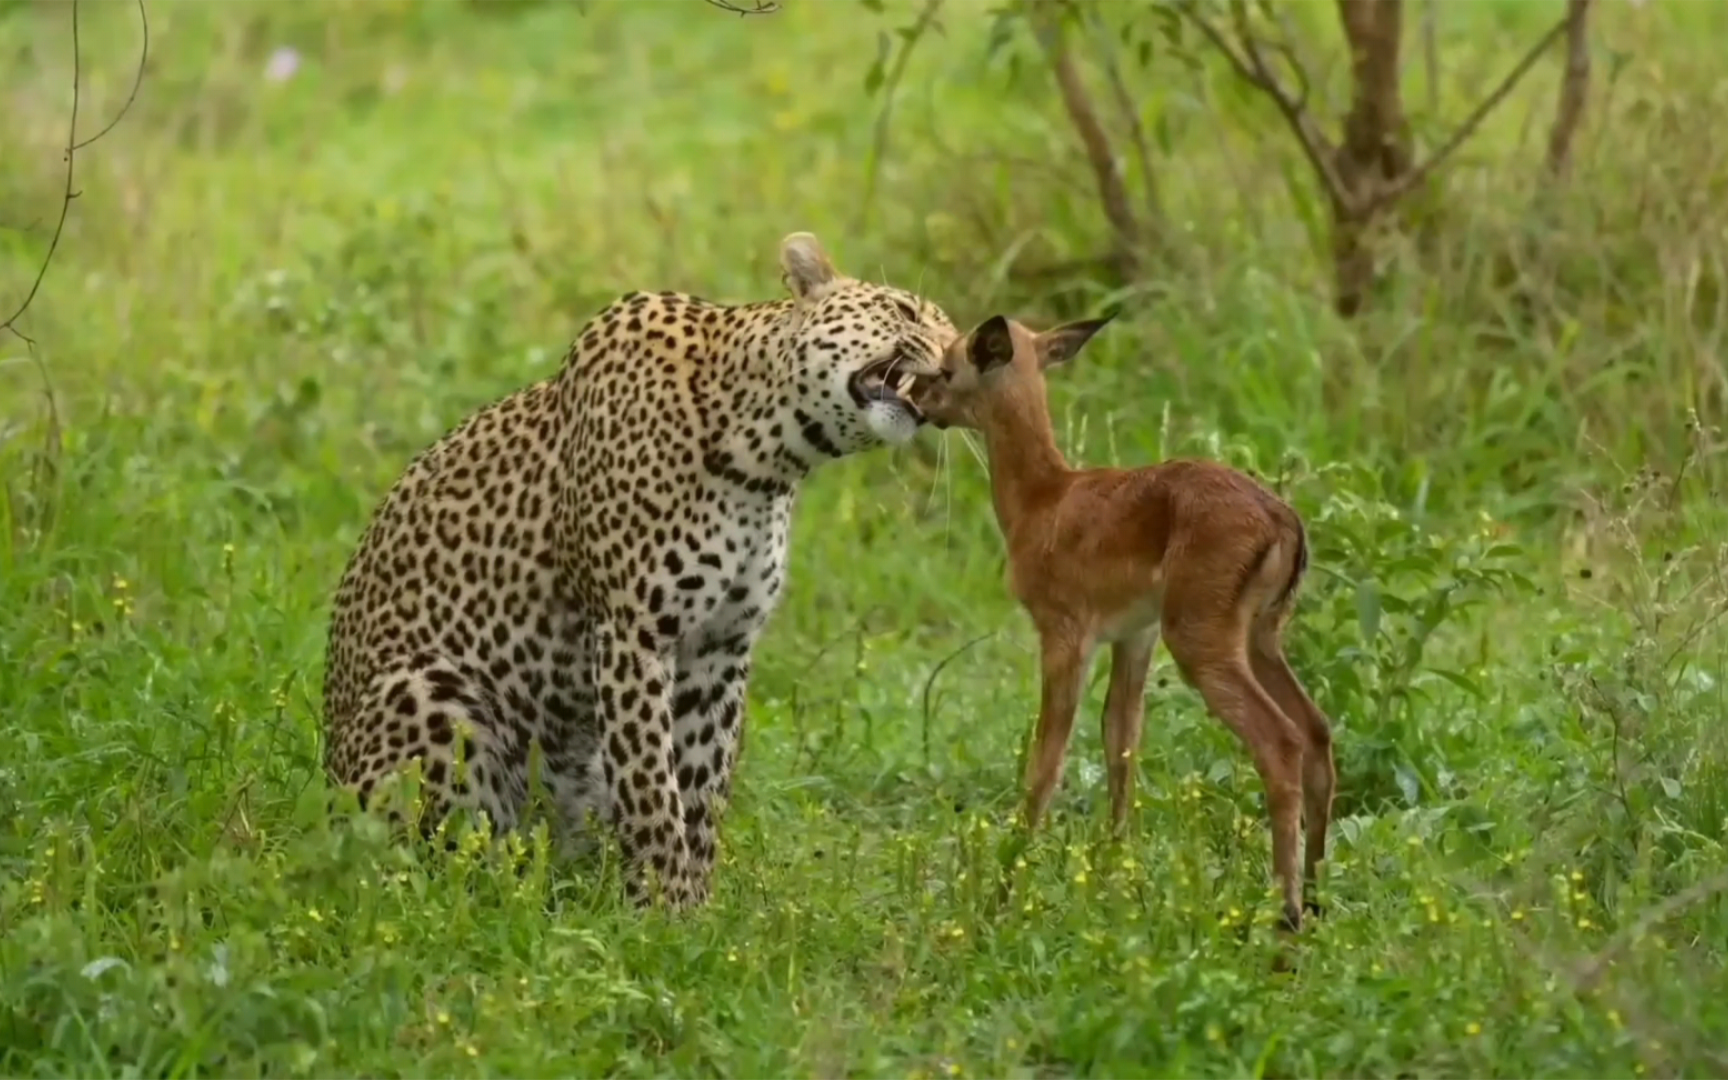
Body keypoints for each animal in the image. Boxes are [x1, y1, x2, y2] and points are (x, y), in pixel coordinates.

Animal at [324, 231, 960, 905]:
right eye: (904, 310)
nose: (956, 359)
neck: (766, 458)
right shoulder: (635, 634)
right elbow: (653, 785)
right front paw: (664, 907)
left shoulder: (720, 646)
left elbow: (701, 787)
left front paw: (698, 909)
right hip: (428, 690)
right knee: (432, 865)